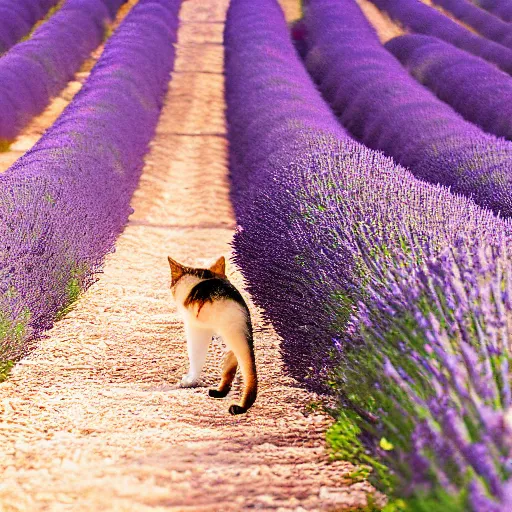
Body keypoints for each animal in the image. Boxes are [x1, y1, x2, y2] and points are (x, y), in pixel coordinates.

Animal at [168, 256, 258, 416]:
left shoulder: (194, 327)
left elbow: (195, 359)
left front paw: (189, 381)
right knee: (235, 367)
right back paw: (221, 393)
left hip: (228, 334)